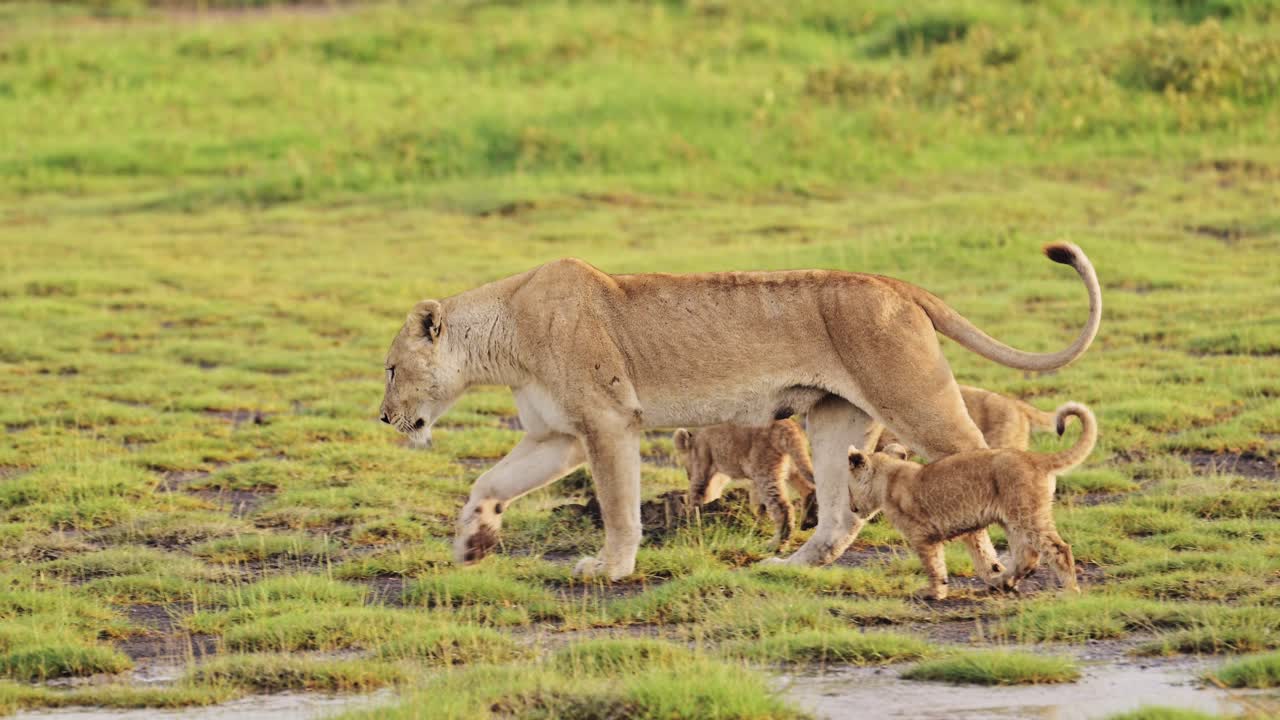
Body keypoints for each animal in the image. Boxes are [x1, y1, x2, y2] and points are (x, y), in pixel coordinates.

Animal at [672, 419, 817, 549]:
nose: (687, 475)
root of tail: (788, 424)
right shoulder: (720, 475)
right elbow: (757, 504)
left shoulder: (702, 468)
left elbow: (696, 495)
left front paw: (691, 521)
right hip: (792, 466)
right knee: (809, 488)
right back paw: (808, 522)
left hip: (765, 470)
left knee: (784, 507)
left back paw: (775, 545)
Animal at [846, 402, 1096, 600]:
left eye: (848, 488)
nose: (852, 508)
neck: (889, 476)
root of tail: (1035, 458)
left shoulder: (921, 536)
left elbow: (934, 566)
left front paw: (933, 593)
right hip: (1013, 520)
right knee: (1027, 556)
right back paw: (1002, 582)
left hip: (1027, 514)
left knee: (1058, 549)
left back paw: (1070, 592)